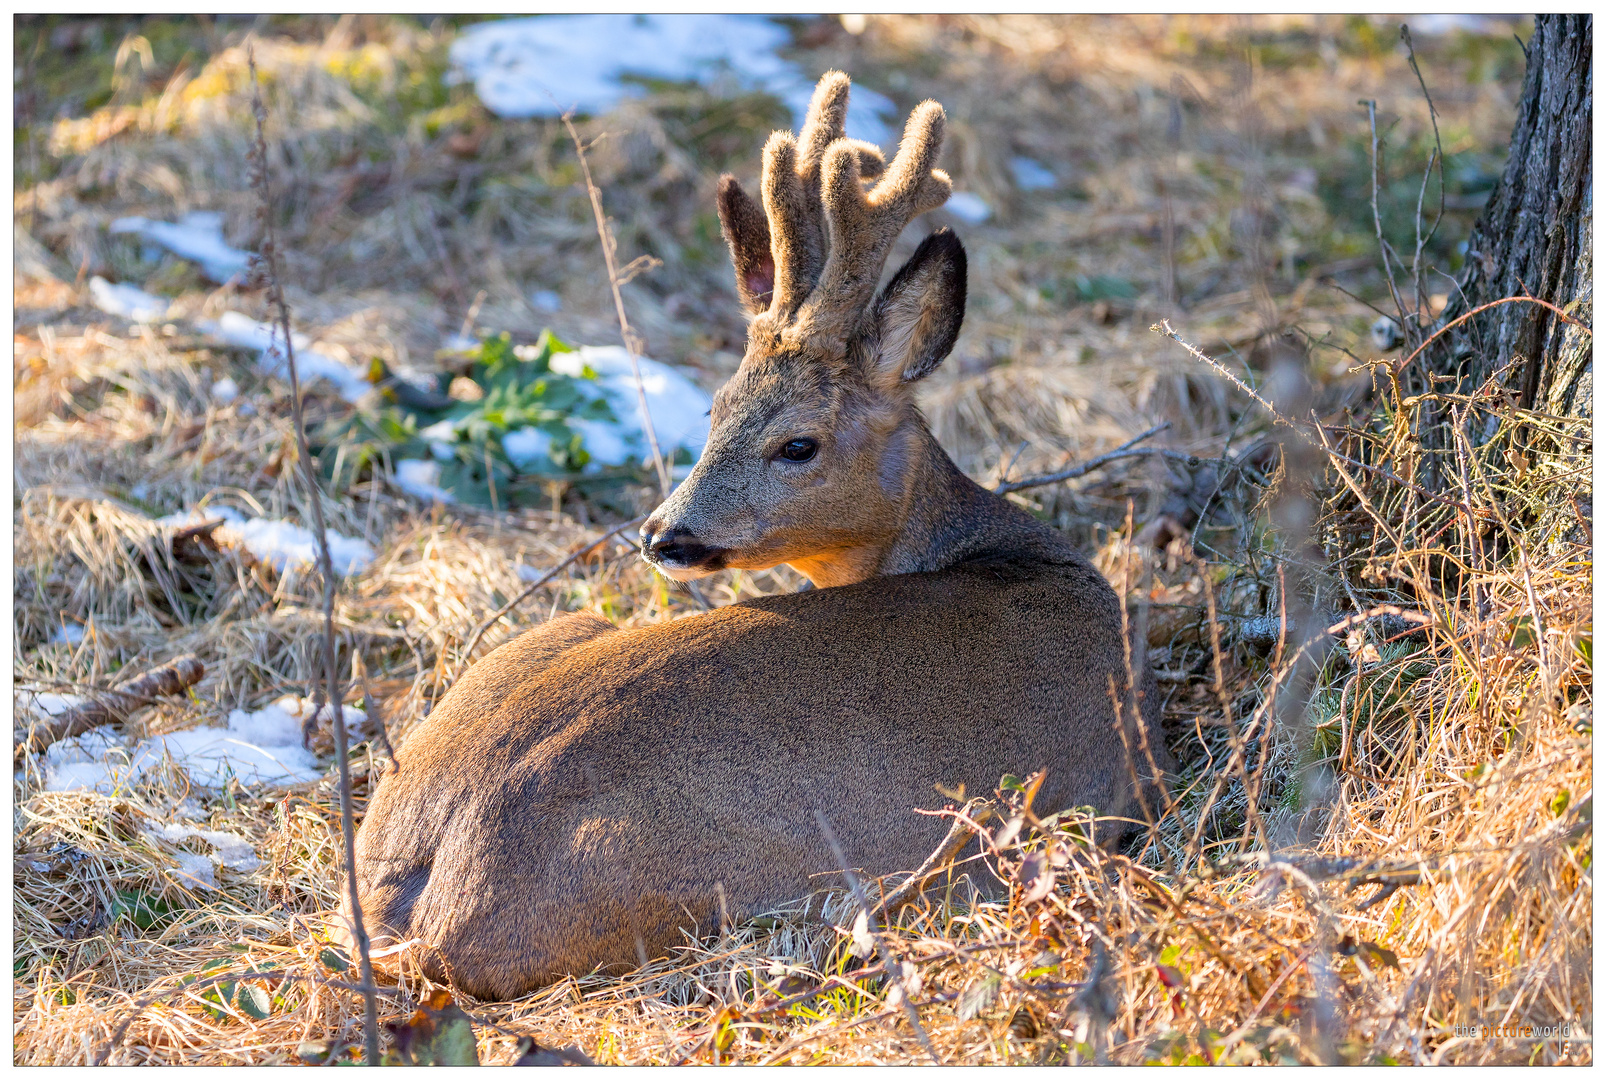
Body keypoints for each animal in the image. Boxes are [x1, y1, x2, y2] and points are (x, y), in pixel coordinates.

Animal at [345, 71, 1175, 1002]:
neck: (1014, 552)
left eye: (797, 443)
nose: (663, 534)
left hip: (545, 638)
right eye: (713, 411)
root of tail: (427, 896)